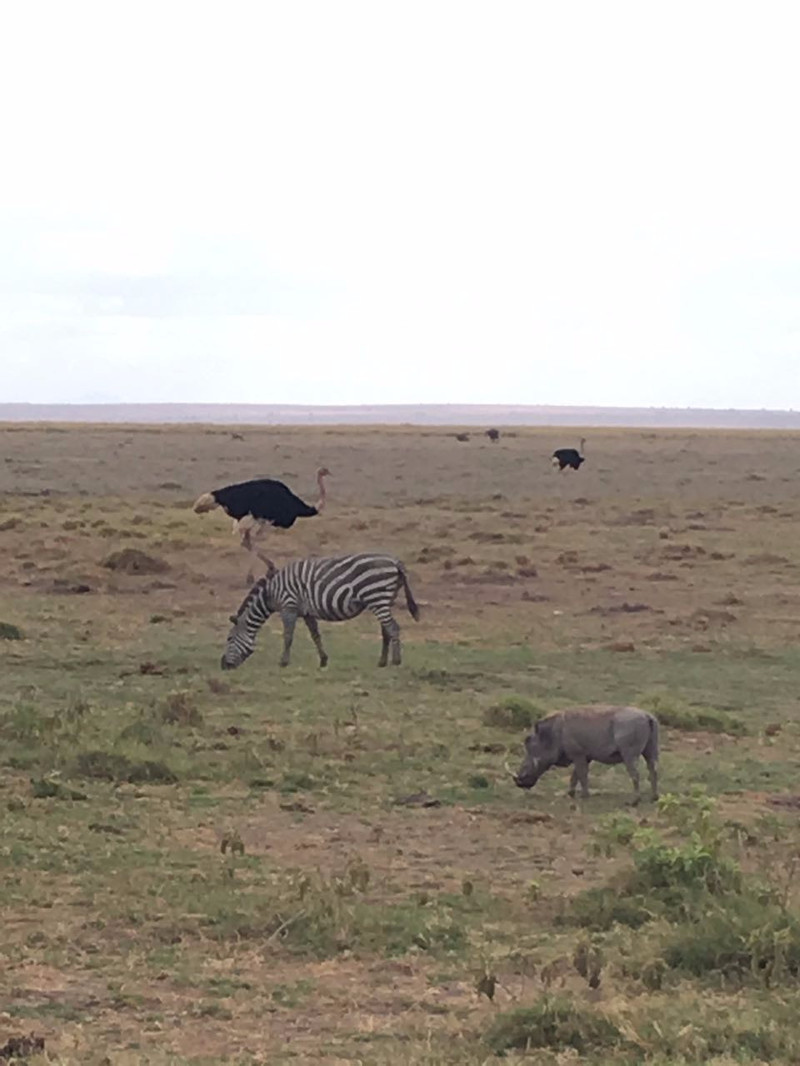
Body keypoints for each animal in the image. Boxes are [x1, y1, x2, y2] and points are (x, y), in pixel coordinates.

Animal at [219, 554, 420, 669]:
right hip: (384, 600)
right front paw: (323, 660)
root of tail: (395, 562)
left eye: (229, 638)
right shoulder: (308, 613)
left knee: (393, 628)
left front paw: (283, 662)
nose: (223, 665)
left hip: (377, 597)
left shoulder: (288, 606)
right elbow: (315, 635)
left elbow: (288, 636)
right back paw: (382, 662)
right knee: (386, 630)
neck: (270, 594)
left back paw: (396, 661)